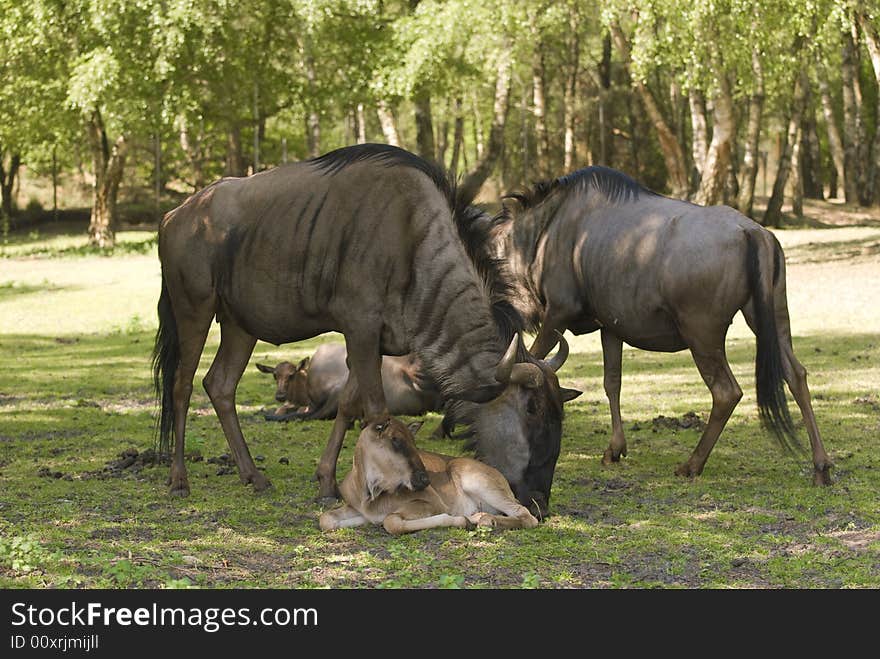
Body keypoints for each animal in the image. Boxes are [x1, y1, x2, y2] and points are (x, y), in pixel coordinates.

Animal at [320, 418, 540, 536]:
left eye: (414, 442)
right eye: (396, 440)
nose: (425, 480)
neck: (369, 492)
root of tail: (502, 478)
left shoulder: (432, 503)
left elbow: (391, 521)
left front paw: (460, 520)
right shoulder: (354, 506)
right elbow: (325, 519)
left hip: (480, 483)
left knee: (527, 515)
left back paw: (483, 520)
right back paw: (481, 517)